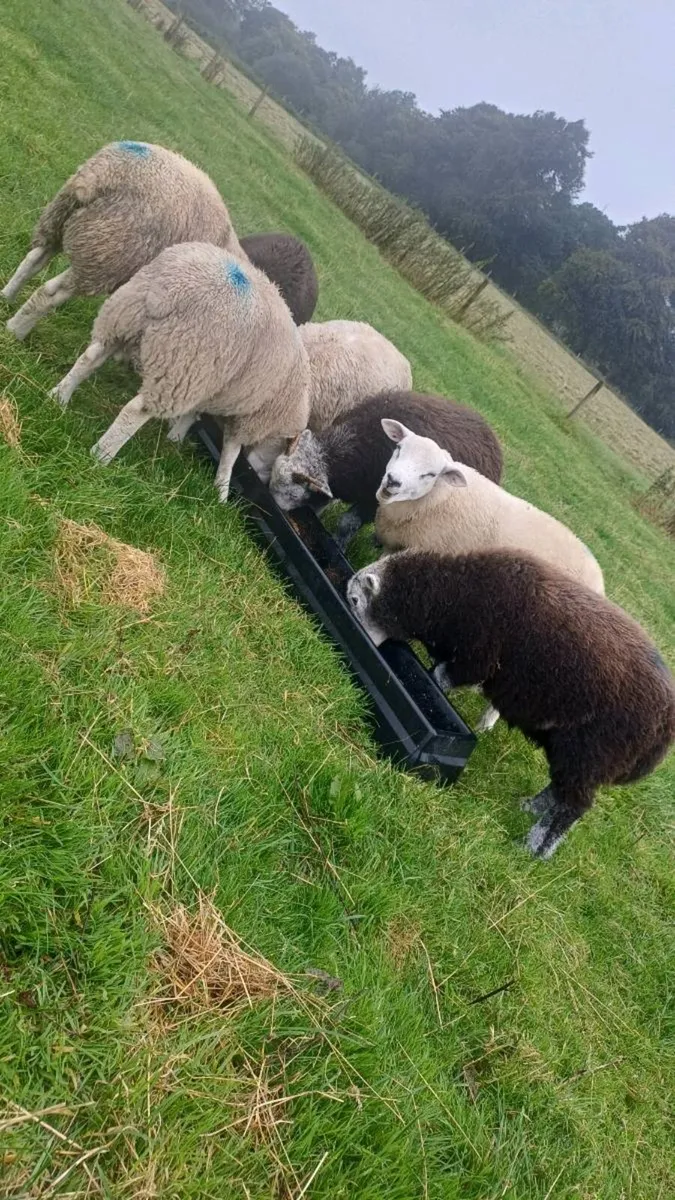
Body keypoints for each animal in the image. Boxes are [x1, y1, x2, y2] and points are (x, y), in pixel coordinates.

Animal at [2, 141, 240, 340]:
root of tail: (97, 176)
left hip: (61, 221)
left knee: (33, 260)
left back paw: (6, 297)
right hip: (108, 255)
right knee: (50, 292)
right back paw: (15, 331)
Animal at [48, 242, 310, 502]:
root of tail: (167, 288)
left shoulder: (210, 387)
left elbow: (193, 414)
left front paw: (175, 438)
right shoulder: (246, 417)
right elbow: (230, 452)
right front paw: (221, 492)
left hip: (123, 320)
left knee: (89, 358)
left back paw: (59, 397)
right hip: (181, 366)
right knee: (135, 410)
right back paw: (102, 453)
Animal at [268, 390, 504, 550]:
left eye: (293, 493)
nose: (276, 511)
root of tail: (492, 438)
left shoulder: (374, 499)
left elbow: (347, 523)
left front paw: (338, 544)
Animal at [347, 549, 675, 859]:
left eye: (354, 599)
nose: (363, 638)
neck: (452, 596)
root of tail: (662, 733)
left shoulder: (474, 661)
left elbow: (438, 679)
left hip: (591, 753)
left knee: (572, 807)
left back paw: (535, 849)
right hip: (575, 755)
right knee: (560, 791)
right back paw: (530, 807)